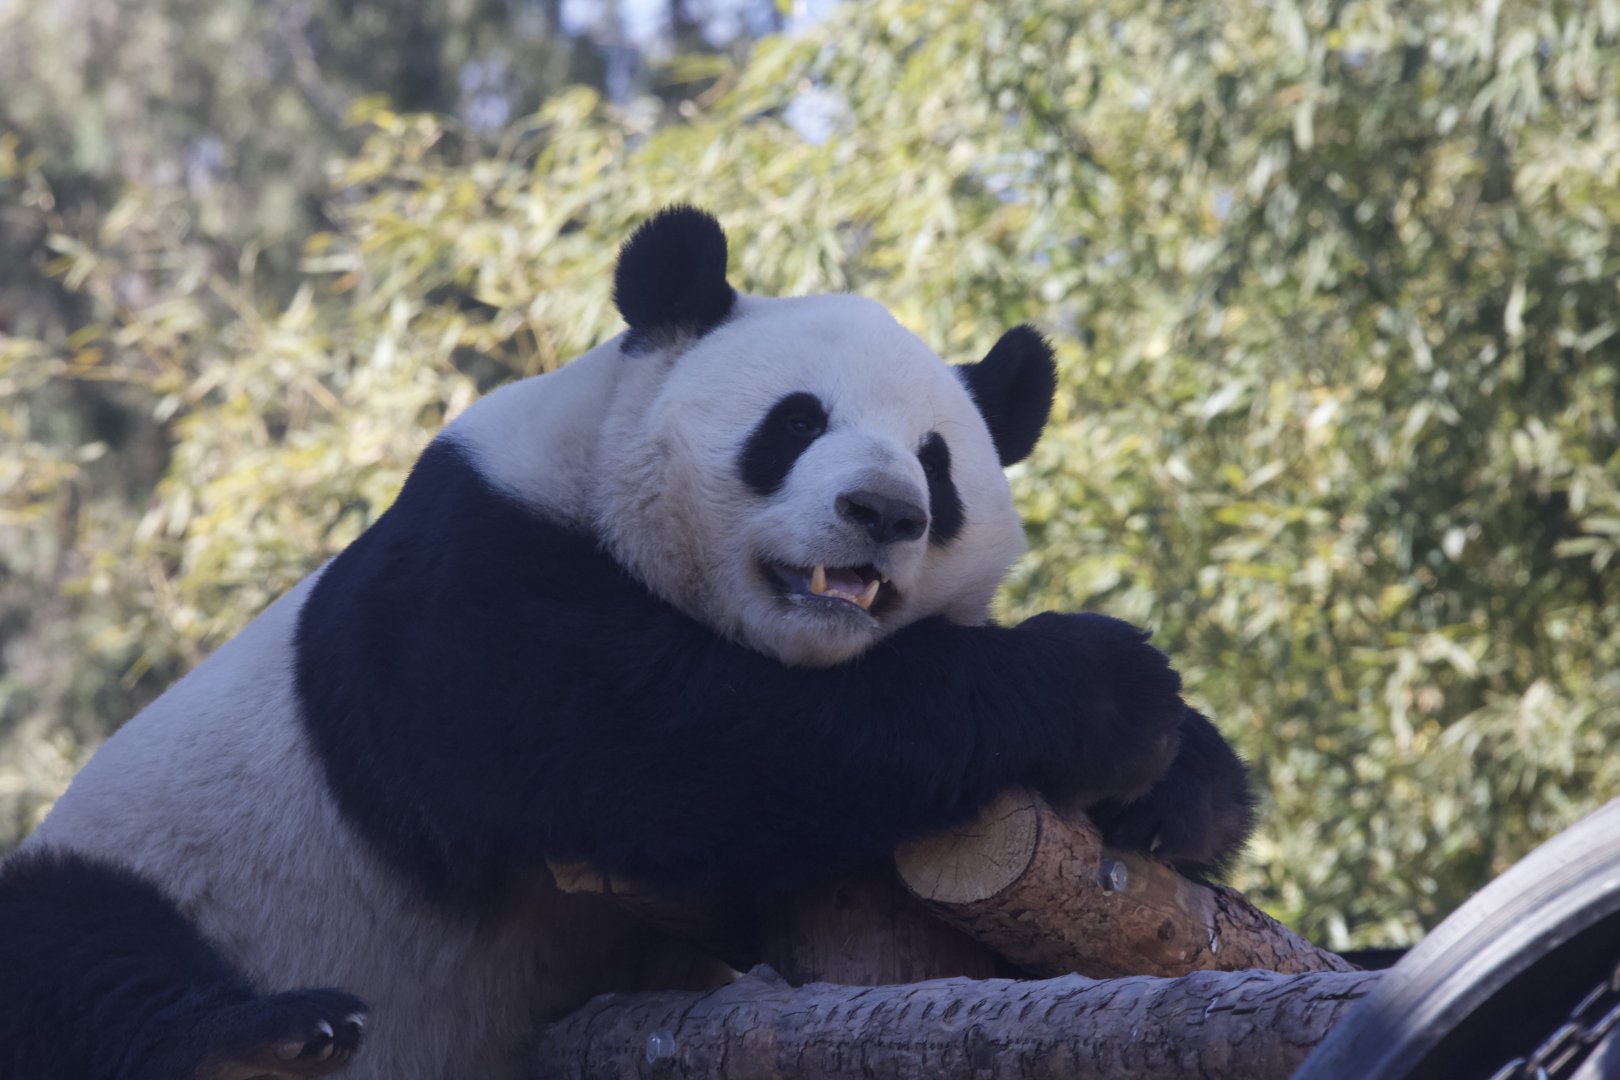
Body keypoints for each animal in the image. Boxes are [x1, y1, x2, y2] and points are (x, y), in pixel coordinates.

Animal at [0, 208, 1253, 1080]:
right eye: (795, 422)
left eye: (938, 466)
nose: (882, 512)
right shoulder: (474, 572)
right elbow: (655, 740)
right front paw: (1111, 695)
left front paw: (1181, 786)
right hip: (161, 869)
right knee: (70, 949)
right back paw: (262, 1036)